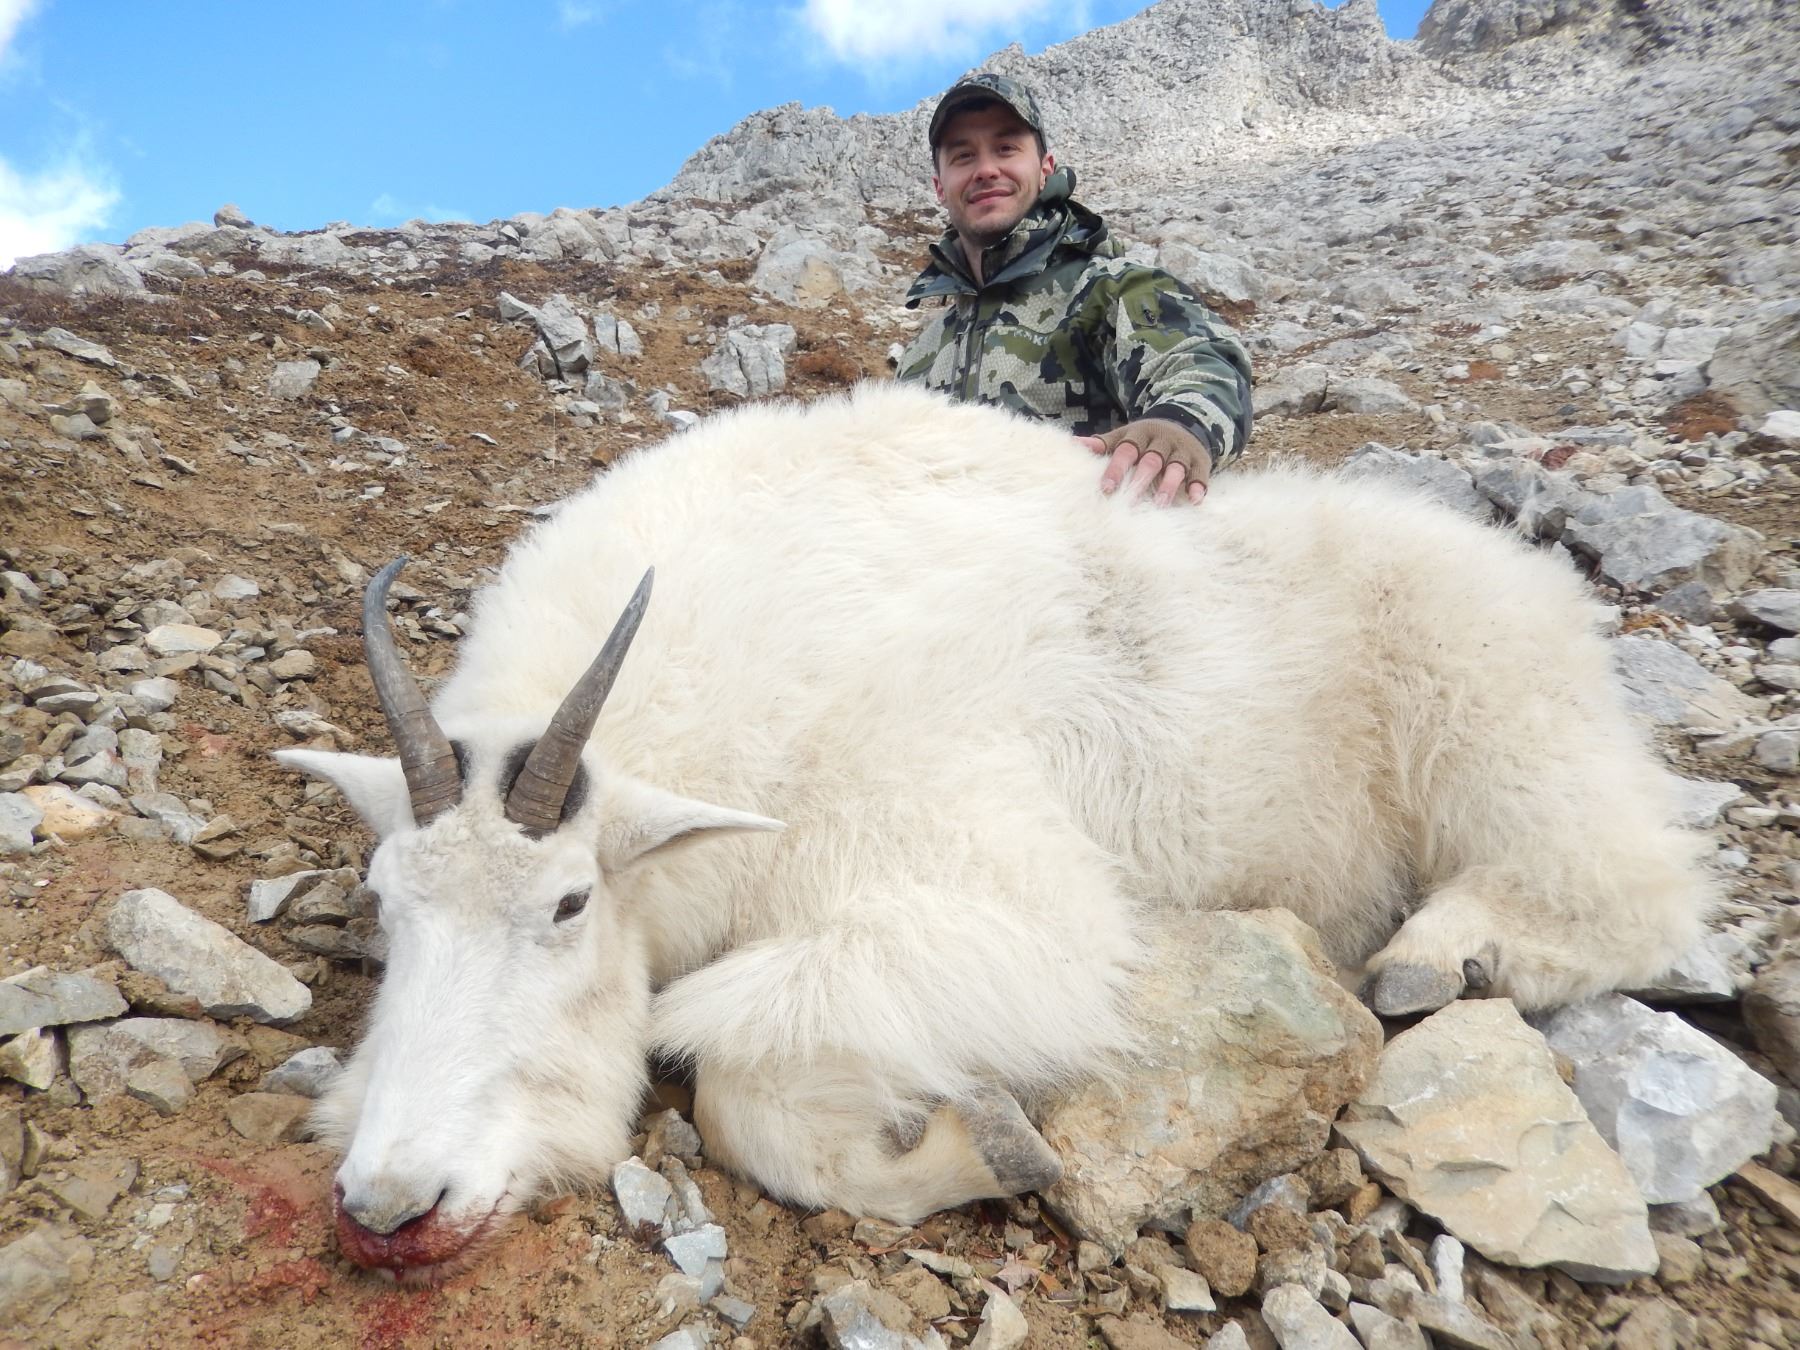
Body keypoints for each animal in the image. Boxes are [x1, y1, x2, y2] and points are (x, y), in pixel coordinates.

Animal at [279, 381, 1711, 1279]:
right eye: (389, 903)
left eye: (568, 905)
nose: (391, 1211)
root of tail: (1545, 590)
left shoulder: (965, 879)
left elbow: (742, 1079)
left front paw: (985, 1143)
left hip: (1486, 714)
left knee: (1629, 886)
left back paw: (1443, 955)